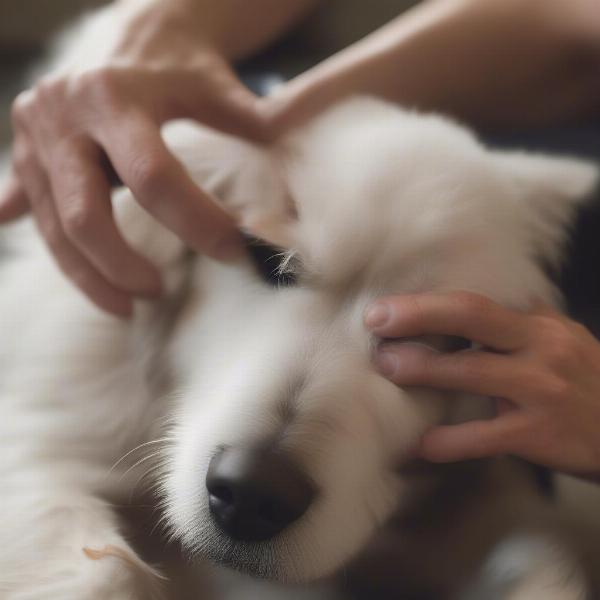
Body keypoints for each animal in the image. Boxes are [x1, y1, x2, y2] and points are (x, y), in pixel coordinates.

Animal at [1, 7, 600, 596]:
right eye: (265, 258)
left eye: (442, 338)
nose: (251, 495)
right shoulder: (41, 431)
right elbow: (103, 571)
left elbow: (544, 568)